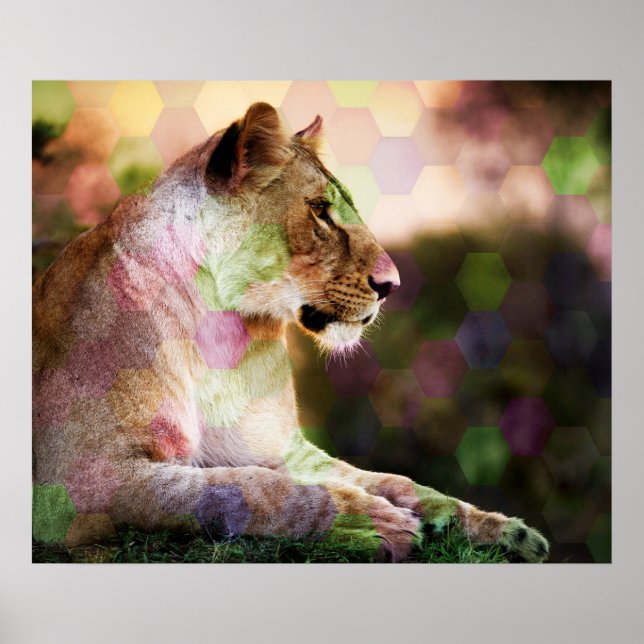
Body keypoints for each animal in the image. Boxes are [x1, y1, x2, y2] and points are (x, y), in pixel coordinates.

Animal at [32, 102, 549, 562]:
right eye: (320, 211)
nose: (391, 286)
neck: (220, 329)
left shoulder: (282, 448)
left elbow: (394, 481)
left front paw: (504, 531)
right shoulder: (76, 482)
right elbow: (244, 489)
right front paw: (372, 522)